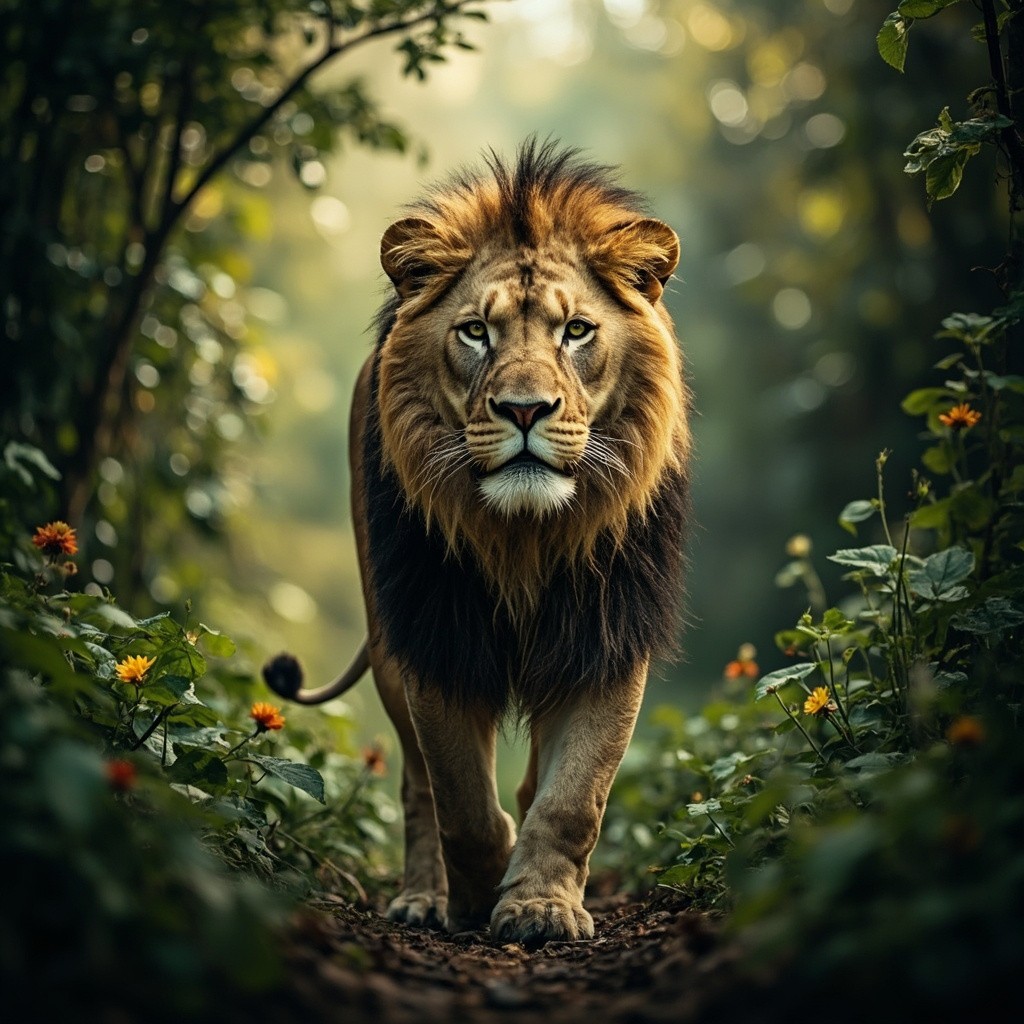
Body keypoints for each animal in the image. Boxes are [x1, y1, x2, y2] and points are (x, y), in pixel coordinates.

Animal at [263, 140, 690, 946]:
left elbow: (572, 799)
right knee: (416, 785)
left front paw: (541, 906)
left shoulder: (606, 638)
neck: (523, 536)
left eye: (576, 331)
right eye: (475, 332)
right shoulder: (435, 636)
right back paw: (426, 897)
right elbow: (461, 801)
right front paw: (479, 895)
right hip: (387, 636)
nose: (525, 409)